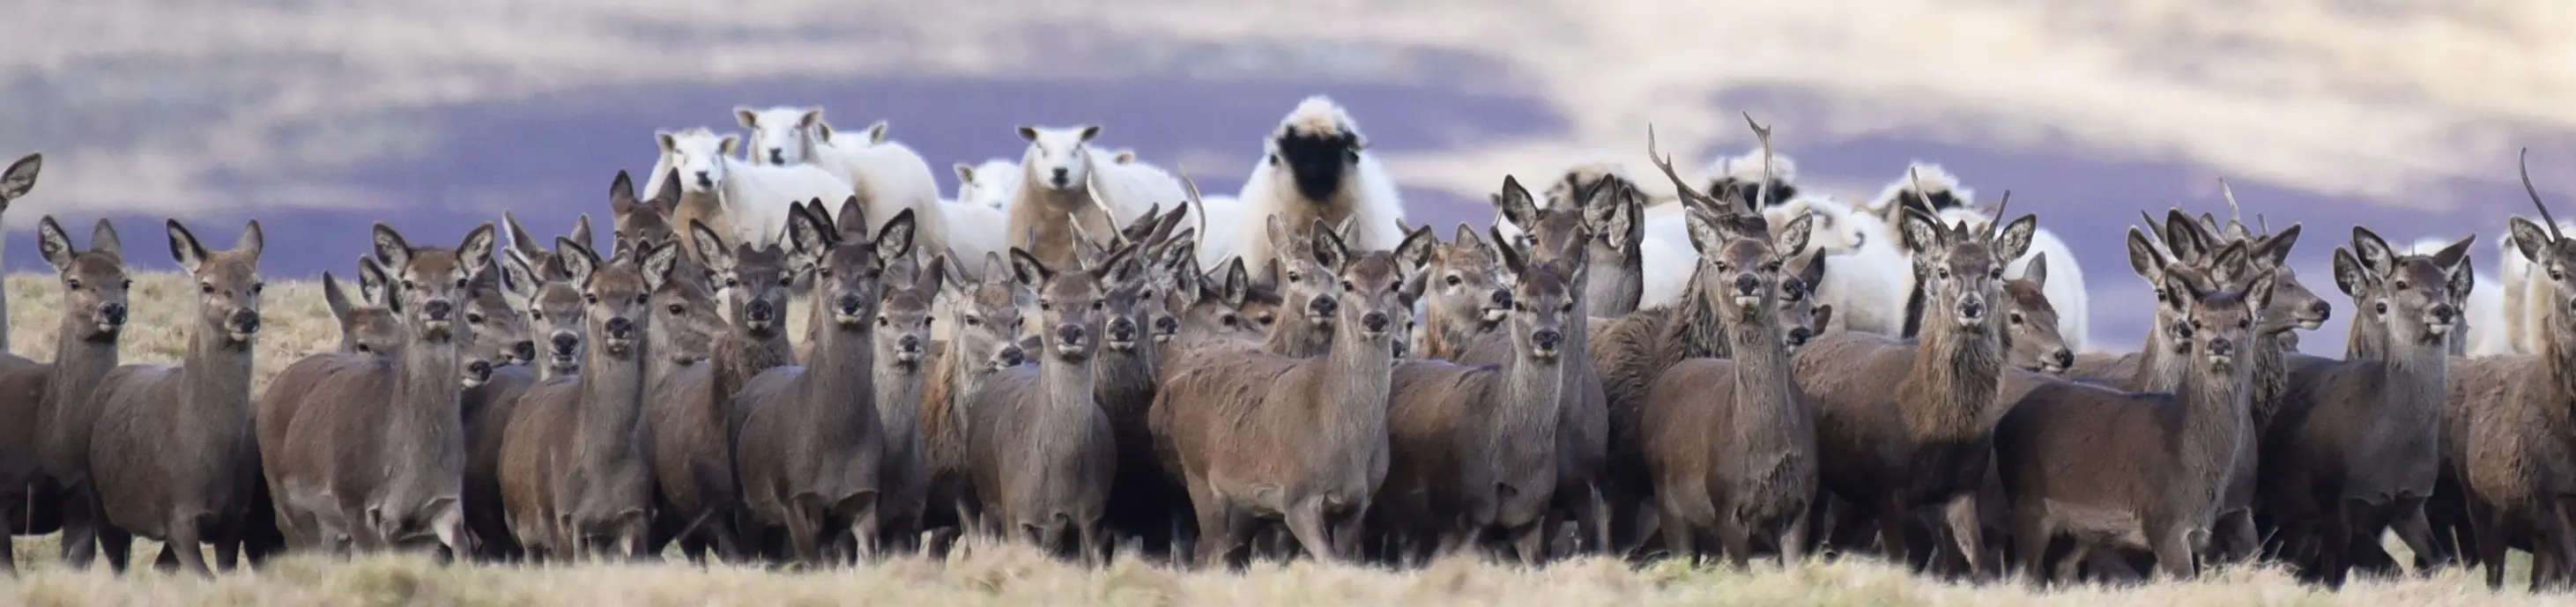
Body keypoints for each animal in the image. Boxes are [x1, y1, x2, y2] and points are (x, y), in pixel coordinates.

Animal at [80, 219, 268, 575]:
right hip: (100, 501)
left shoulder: (235, 517)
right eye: (207, 285)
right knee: (118, 563)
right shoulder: (176, 515)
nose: (245, 317)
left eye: (257, 284)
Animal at [496, 236, 681, 560]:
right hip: (522, 528)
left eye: (642, 295)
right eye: (592, 297)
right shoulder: (560, 518)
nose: (618, 325)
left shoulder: (637, 515)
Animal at [729, 201, 917, 563]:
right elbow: (809, 560)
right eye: (826, 270)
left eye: (874, 271)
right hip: (744, 498)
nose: (849, 302)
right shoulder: (792, 495)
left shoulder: (863, 496)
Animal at [1153, 218, 1418, 566]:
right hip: (1199, 474)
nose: (1375, 319)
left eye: (1396, 284)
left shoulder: (1358, 505)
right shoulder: (1297, 498)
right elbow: (1328, 560)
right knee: (1205, 552)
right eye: (1347, 283)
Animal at [1640, 204, 1821, 569]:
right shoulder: (1725, 503)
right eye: (1722, 263)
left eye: (1773, 262)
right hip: (1667, 500)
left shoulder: (1801, 503)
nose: (1746, 280)